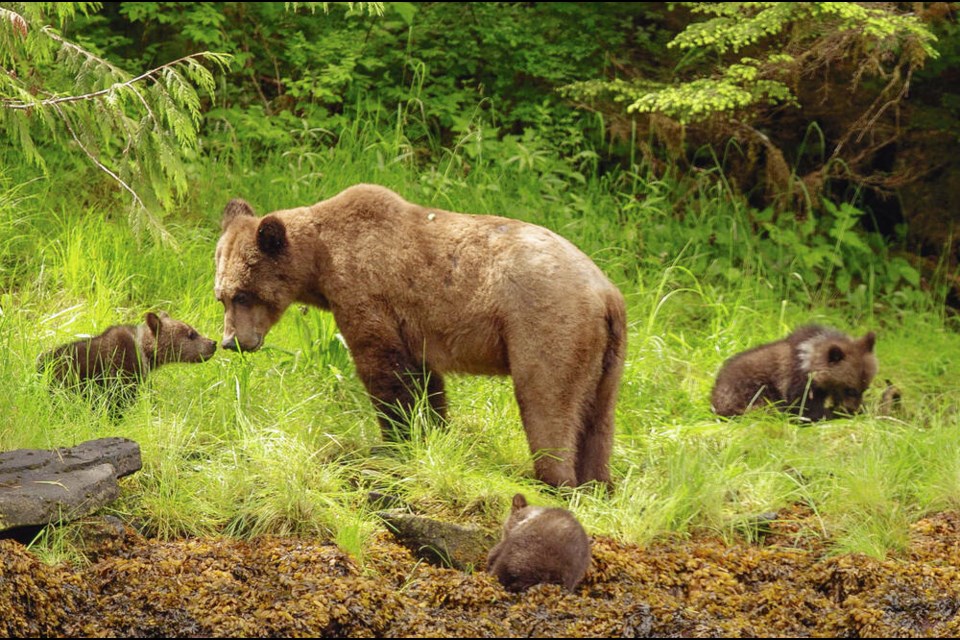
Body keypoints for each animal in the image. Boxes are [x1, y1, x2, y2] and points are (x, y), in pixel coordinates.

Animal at [214, 184, 628, 484]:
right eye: (221, 297)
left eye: (243, 294)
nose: (233, 342)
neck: (321, 260)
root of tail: (606, 293)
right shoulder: (415, 328)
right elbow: (426, 381)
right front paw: (433, 435)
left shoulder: (367, 291)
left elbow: (383, 369)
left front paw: (394, 441)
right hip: (607, 355)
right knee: (599, 418)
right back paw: (597, 483)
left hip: (548, 323)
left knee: (547, 399)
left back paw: (554, 479)